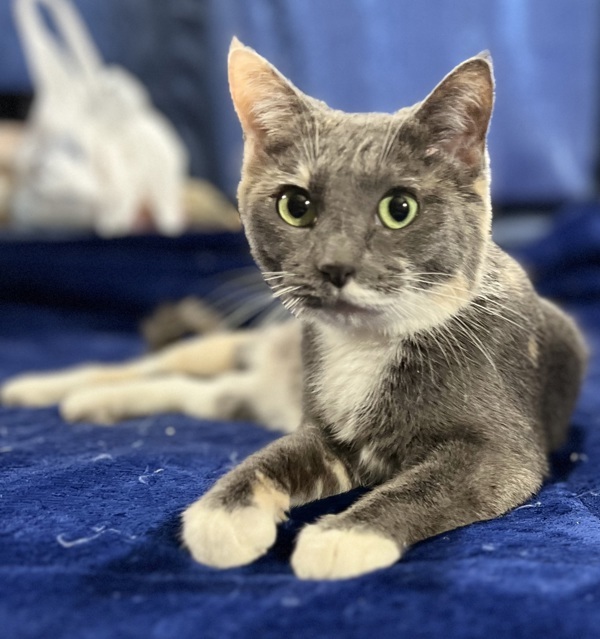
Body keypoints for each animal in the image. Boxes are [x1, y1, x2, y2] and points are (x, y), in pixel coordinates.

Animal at [3, 38, 584, 580]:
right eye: (295, 205)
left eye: (400, 208)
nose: (334, 265)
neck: (366, 345)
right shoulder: (321, 427)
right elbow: (269, 457)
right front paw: (223, 515)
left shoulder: (501, 448)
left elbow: (429, 486)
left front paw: (343, 536)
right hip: (239, 346)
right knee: (164, 364)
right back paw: (51, 388)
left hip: (242, 393)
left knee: (201, 393)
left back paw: (93, 404)